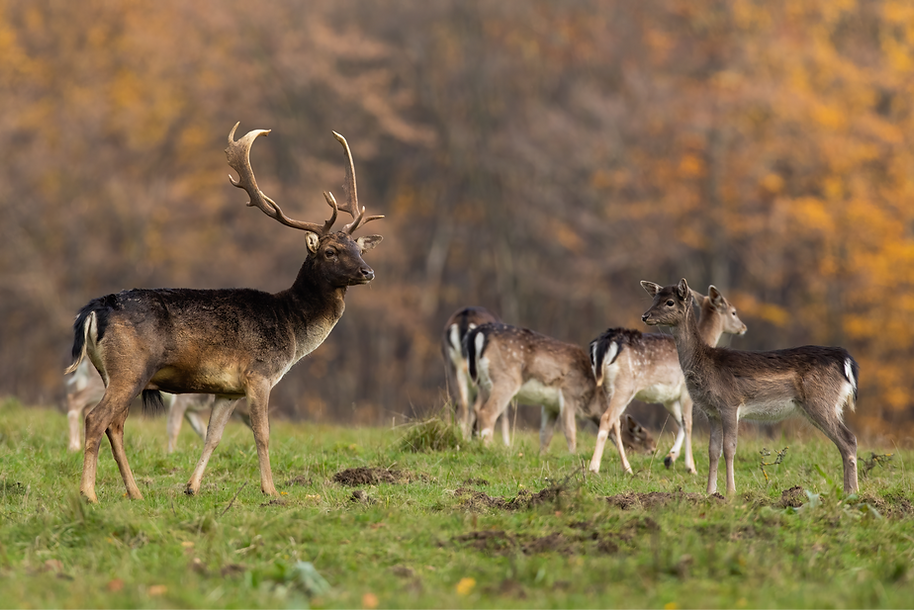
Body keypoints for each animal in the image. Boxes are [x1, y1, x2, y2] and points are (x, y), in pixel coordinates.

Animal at [65, 123, 382, 503]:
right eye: (331, 251)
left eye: (358, 248)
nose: (368, 272)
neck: (291, 327)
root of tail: (93, 311)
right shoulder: (259, 374)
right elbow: (262, 433)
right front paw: (271, 491)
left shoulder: (228, 389)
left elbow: (213, 436)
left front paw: (191, 487)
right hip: (130, 369)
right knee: (96, 419)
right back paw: (88, 494)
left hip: (113, 373)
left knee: (115, 425)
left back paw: (135, 492)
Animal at [441, 306, 510, 441]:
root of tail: (465, 318)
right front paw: (507, 445)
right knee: (476, 407)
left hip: (454, 366)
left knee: (463, 403)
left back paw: (463, 438)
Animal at [465, 322, 657, 455]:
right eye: (642, 437)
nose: (655, 449)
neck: (591, 398)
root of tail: (478, 333)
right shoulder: (569, 394)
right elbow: (570, 430)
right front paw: (573, 455)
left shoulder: (550, 405)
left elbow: (546, 434)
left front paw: (542, 455)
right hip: (506, 380)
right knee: (487, 412)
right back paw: (487, 446)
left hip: (483, 383)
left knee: (475, 408)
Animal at [587, 286, 747, 475]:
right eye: (734, 312)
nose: (743, 327)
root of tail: (602, 345)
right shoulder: (686, 391)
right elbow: (688, 423)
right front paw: (691, 467)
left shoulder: (667, 399)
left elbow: (679, 422)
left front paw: (670, 458)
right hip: (624, 386)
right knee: (607, 418)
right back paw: (594, 467)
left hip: (608, 387)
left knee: (616, 422)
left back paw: (627, 468)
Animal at [640, 278, 859, 496]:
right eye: (653, 298)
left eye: (670, 302)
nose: (645, 315)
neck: (705, 364)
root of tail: (846, 361)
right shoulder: (711, 412)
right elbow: (713, 450)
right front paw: (710, 492)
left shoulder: (729, 403)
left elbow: (729, 448)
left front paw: (730, 491)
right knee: (844, 442)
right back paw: (848, 491)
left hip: (821, 402)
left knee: (849, 439)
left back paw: (852, 492)